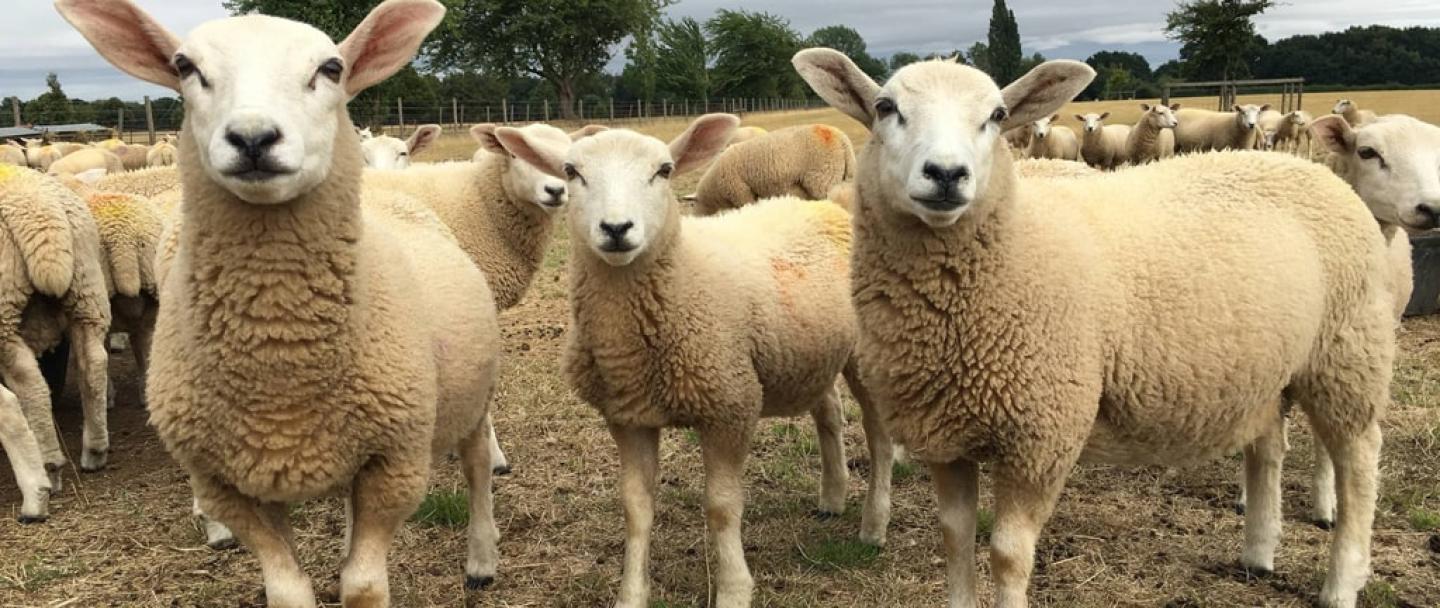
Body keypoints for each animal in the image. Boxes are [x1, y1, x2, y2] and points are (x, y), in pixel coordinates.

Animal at [0, 164, 114, 480]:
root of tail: (39, 211)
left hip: (4, 310)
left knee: (30, 384)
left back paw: (49, 464)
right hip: (86, 289)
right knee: (93, 364)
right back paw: (95, 451)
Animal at [57, 1, 506, 605]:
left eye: (332, 68)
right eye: (185, 66)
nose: (252, 137)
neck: (279, 365)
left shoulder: (396, 463)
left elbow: (365, 586)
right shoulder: (228, 483)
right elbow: (288, 589)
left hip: (471, 398)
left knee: (477, 465)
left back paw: (482, 558)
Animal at [795, 49, 1394, 608]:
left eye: (997, 115)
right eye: (885, 107)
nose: (946, 174)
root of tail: (1312, 169)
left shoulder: (1042, 436)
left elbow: (1008, 554)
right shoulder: (945, 437)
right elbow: (955, 540)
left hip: (1347, 354)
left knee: (1359, 465)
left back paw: (1342, 580)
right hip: (1268, 368)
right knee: (1268, 448)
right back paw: (1259, 553)